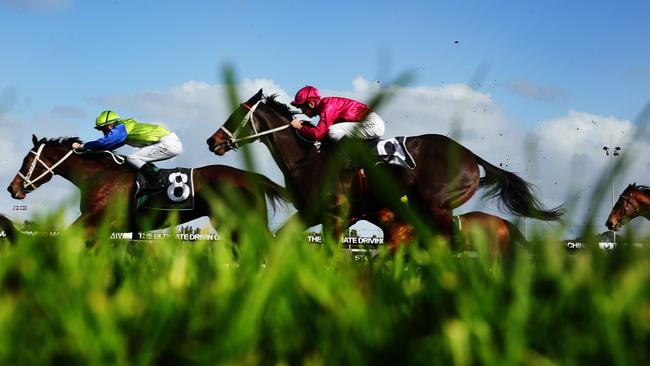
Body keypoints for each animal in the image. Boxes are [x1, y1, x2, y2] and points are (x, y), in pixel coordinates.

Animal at [6, 136, 286, 239]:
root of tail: (251, 175)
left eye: (28, 160)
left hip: (245, 220)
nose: (12, 188)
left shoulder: (99, 220)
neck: (100, 174)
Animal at [205, 90, 560, 246]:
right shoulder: (314, 213)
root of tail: (471, 156)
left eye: (236, 116)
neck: (307, 159)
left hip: (435, 204)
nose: (212, 141)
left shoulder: (332, 216)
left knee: (449, 239)